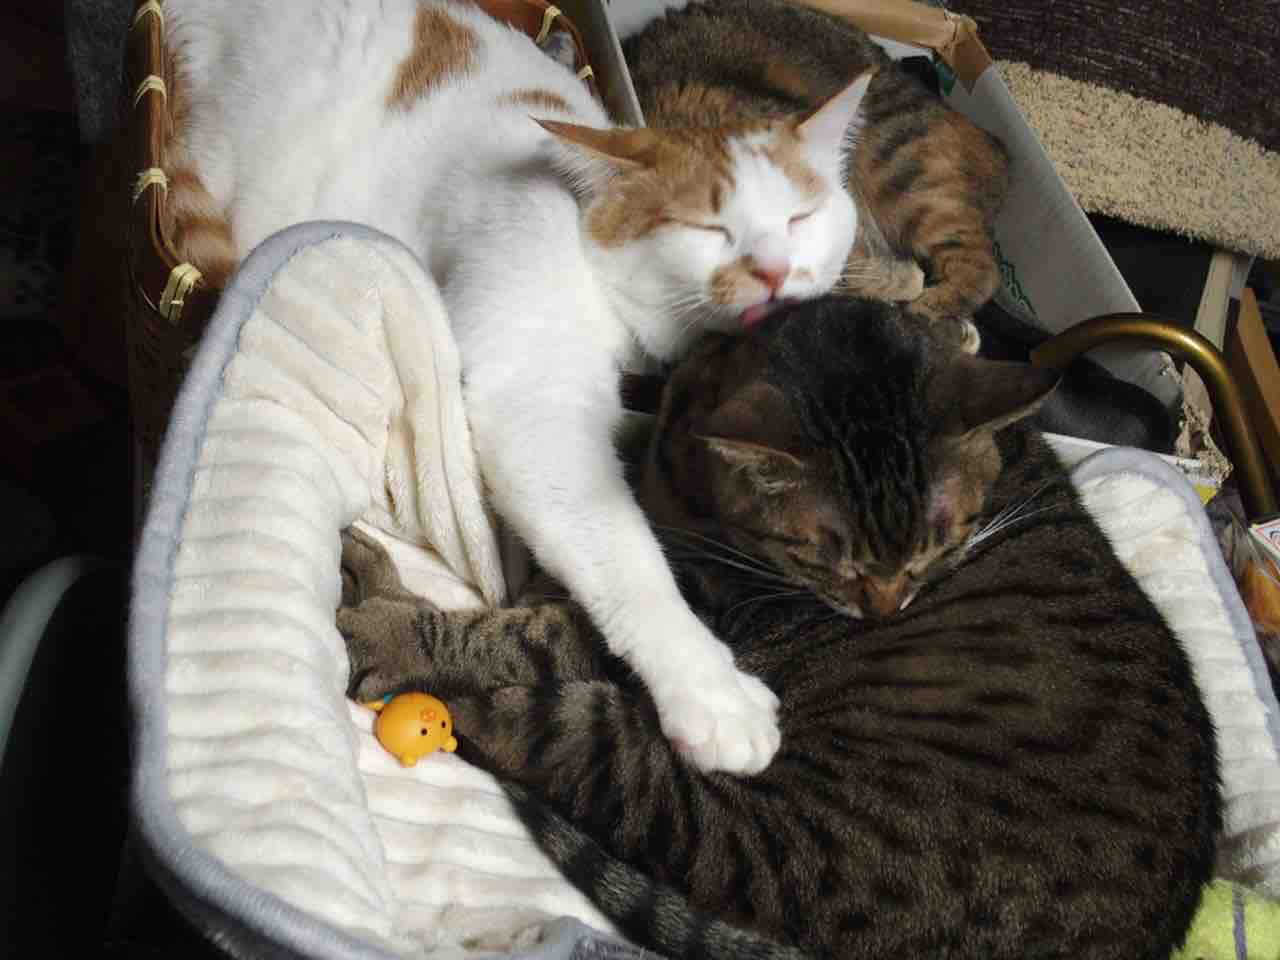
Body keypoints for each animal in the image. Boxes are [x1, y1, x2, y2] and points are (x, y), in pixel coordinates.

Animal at [161, 0, 880, 773]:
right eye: (707, 227)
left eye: (801, 219)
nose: (775, 271)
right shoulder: (533, 391)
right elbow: (625, 556)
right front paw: (710, 691)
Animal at [338, 296, 1220, 960]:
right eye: (832, 557)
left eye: (937, 549)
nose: (887, 612)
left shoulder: (696, 609)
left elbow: (528, 633)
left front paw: (403, 627)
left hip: (751, 817)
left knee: (544, 739)